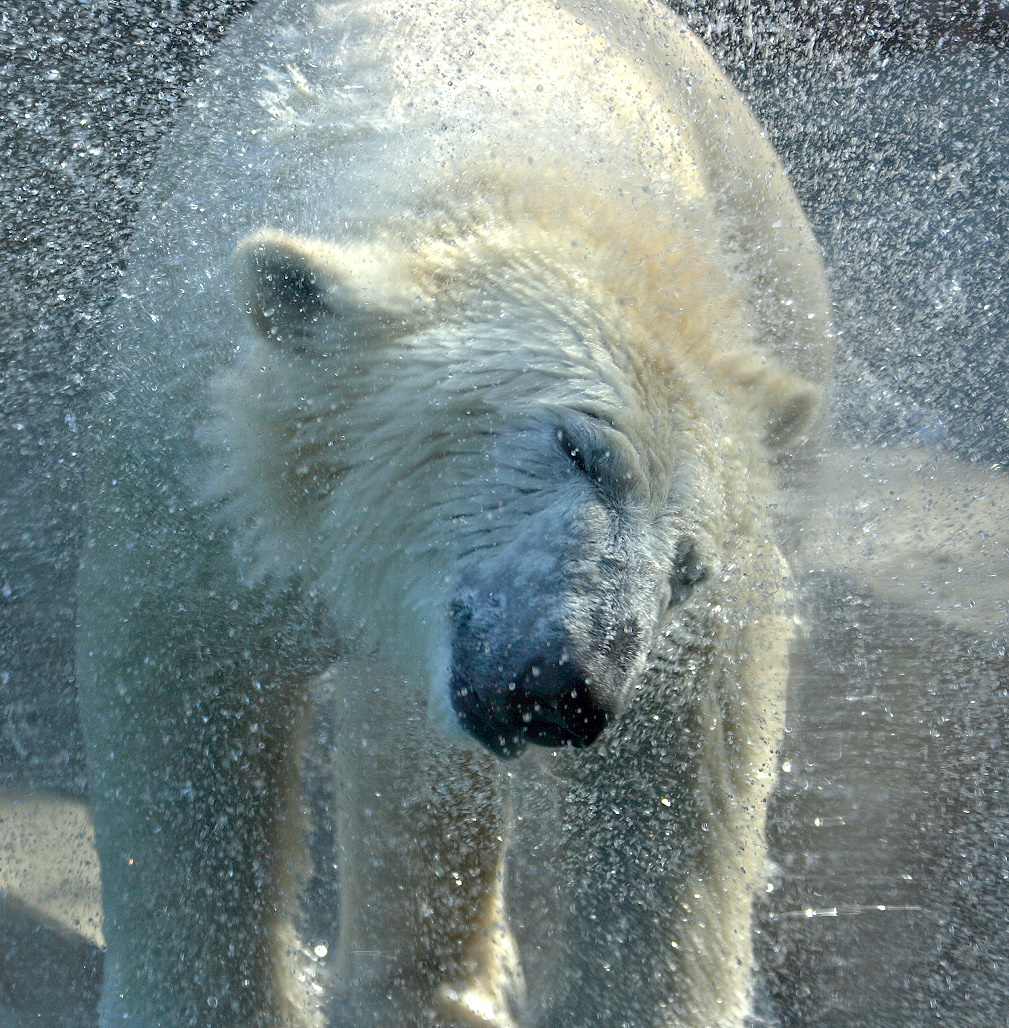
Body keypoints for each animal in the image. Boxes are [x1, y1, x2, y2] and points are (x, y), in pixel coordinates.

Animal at [77, 2, 830, 1028]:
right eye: (578, 447)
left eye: (690, 567)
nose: (576, 686)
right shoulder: (194, 479)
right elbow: (187, 720)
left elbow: (678, 783)